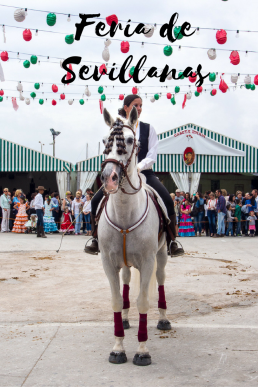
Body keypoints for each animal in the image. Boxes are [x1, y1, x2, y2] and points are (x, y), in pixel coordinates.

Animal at [98, 106, 170, 366]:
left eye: (130, 140)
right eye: (105, 141)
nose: (108, 178)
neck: (125, 212)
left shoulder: (148, 261)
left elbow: (143, 301)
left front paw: (142, 351)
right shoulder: (108, 263)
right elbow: (117, 300)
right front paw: (118, 348)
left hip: (161, 255)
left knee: (161, 281)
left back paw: (163, 319)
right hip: (126, 263)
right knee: (127, 281)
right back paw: (127, 319)